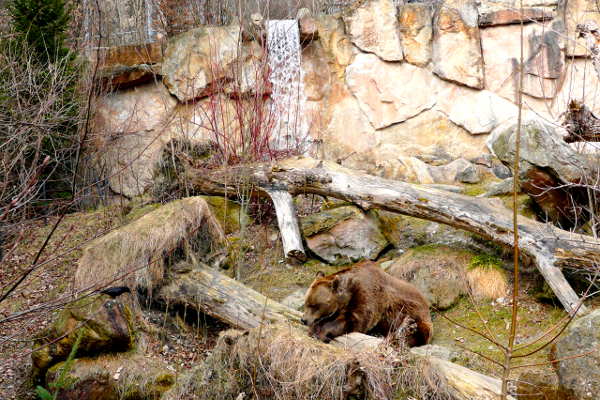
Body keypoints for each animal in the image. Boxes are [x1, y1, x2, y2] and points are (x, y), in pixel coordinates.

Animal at [302, 260, 434, 346]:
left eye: (314, 305)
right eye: (306, 302)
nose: (303, 320)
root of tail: (426, 304)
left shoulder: (368, 294)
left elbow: (356, 319)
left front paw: (320, 333)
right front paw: (314, 328)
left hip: (417, 316)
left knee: (416, 332)